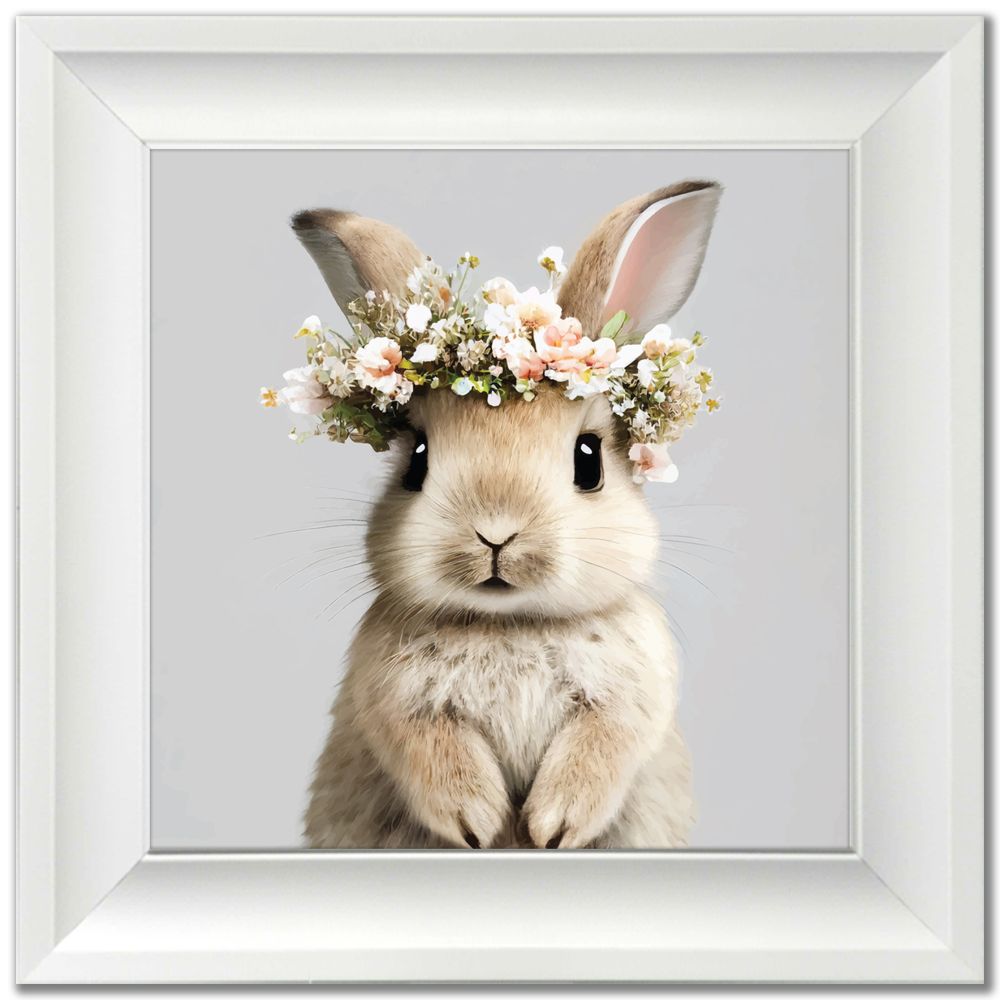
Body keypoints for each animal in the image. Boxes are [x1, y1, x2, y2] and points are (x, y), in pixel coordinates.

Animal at [292, 180, 721, 848]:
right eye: (416, 460)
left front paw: (552, 826)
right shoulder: (394, 703)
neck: (511, 624)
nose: (496, 533)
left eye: (589, 462)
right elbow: (429, 750)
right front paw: (479, 823)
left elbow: (602, 748)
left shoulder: (630, 699)